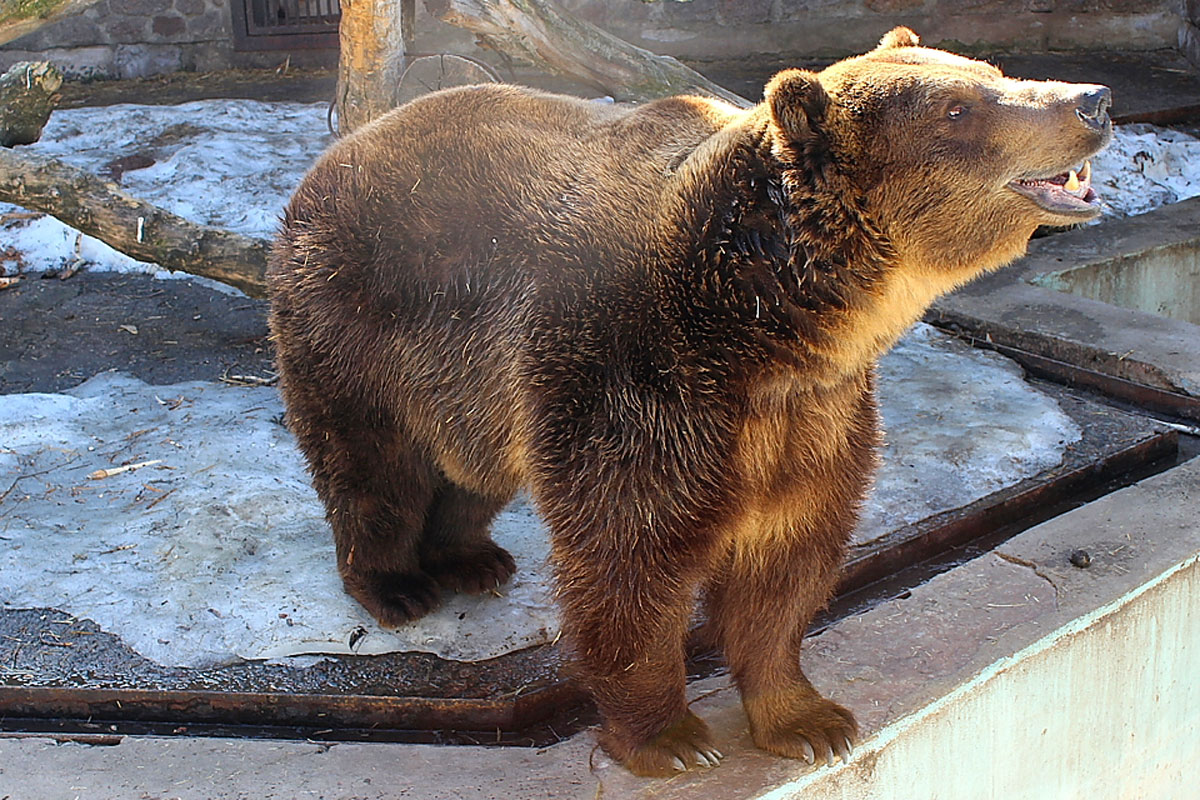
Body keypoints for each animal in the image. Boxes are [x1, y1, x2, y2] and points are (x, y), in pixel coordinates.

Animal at [267, 28, 1108, 777]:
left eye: (989, 71)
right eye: (958, 108)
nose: (1091, 100)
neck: (766, 327)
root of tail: (338, 152)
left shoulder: (812, 413)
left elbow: (788, 560)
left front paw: (808, 718)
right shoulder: (636, 381)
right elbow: (631, 559)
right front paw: (670, 739)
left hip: (471, 383)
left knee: (475, 471)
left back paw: (473, 558)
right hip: (359, 319)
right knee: (370, 466)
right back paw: (396, 584)